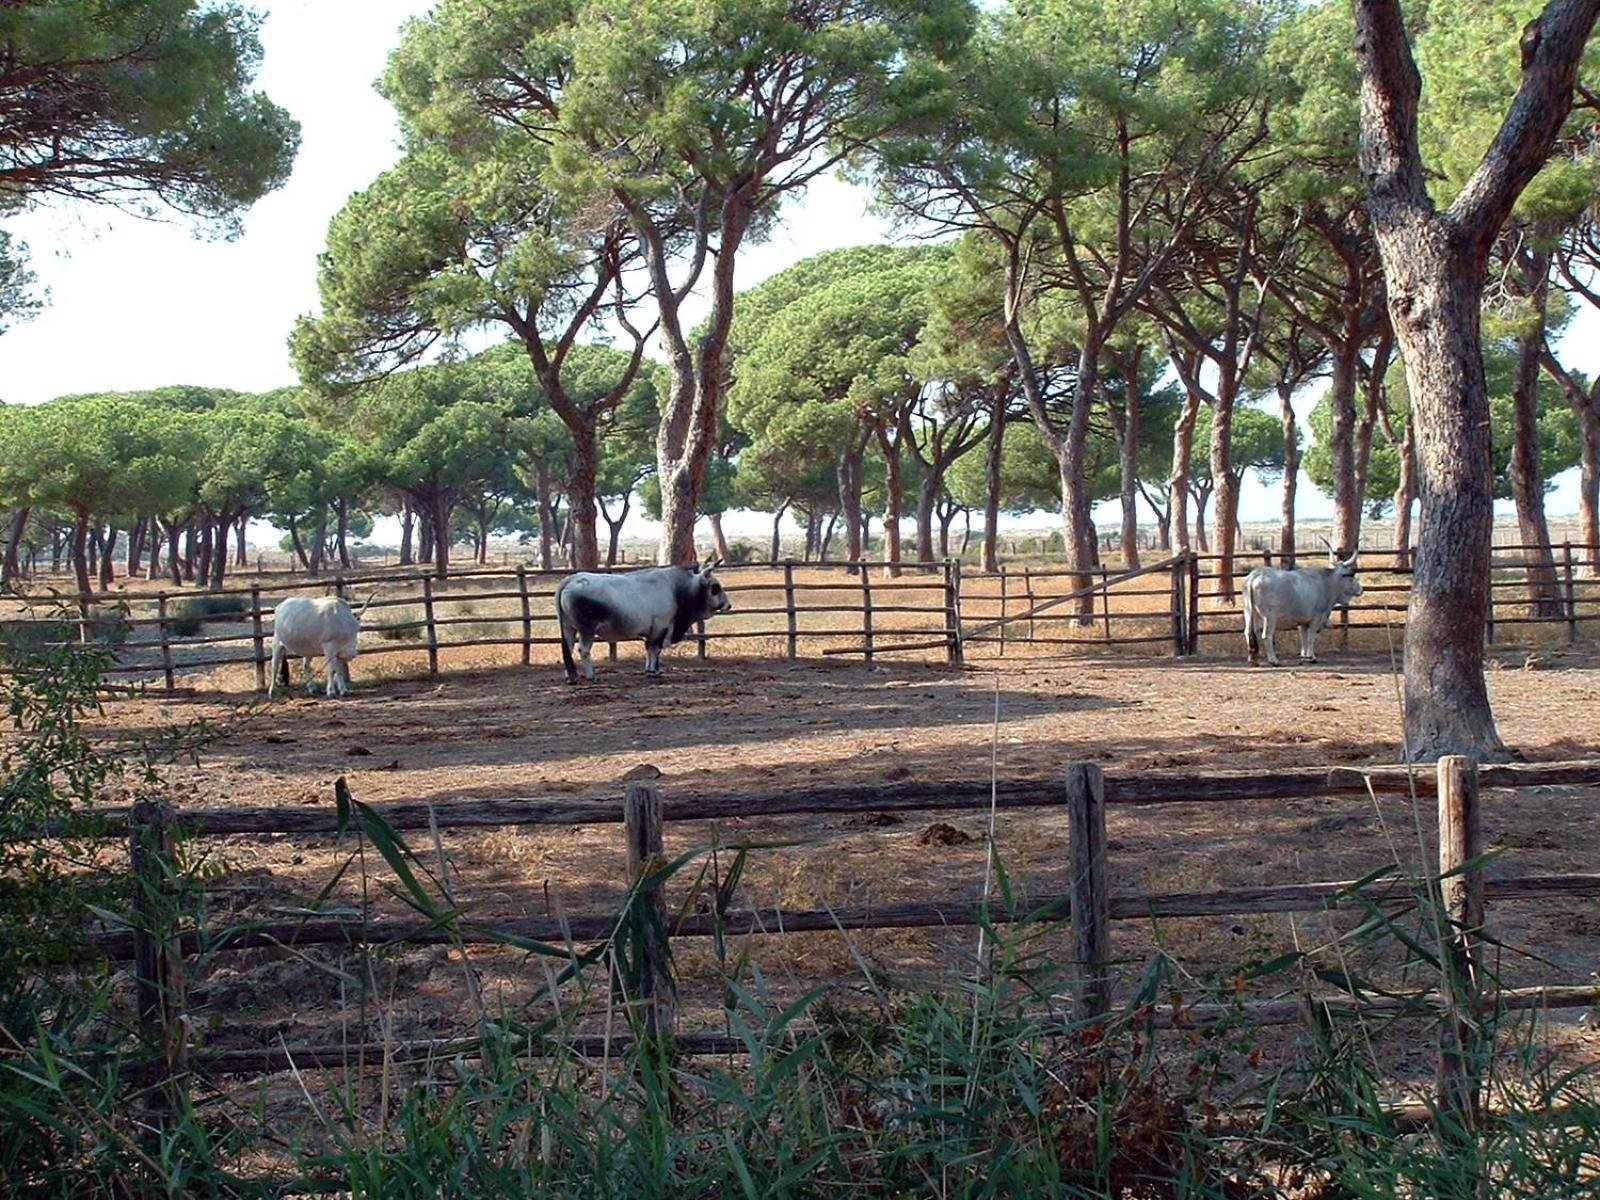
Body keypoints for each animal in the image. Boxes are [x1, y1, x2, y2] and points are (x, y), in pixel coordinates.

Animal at [1235, 553, 1363, 668]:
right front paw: (1311, 658)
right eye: (1351, 574)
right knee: (1266, 635)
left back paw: (1254, 661)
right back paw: (1274, 661)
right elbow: (1311, 637)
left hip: (1249, 613)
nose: (1361, 589)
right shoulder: (1317, 617)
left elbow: (1304, 638)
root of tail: (1255, 575)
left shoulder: (1302, 621)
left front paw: (1304, 657)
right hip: (1269, 617)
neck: (1326, 582)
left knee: (1250, 632)